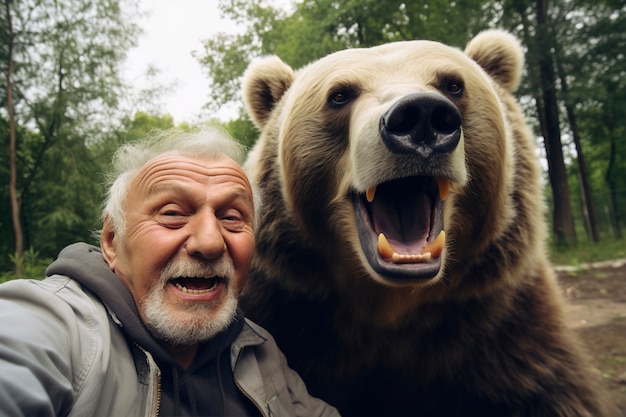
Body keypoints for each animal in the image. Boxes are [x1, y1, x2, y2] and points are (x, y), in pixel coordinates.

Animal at [239, 30, 608, 416]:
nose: (421, 117)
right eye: (339, 95)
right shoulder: (291, 310)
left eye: (453, 84)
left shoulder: (505, 333)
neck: (392, 306)